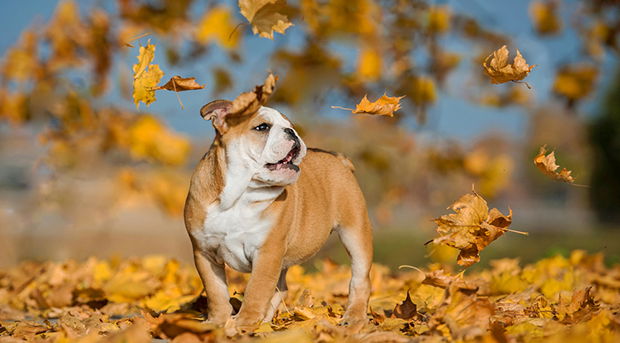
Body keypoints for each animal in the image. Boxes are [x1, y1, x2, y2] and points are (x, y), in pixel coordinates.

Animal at [182, 100, 370, 330]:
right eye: (262, 127)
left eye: (290, 126)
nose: (292, 131)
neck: (239, 195)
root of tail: (338, 159)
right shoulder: (204, 252)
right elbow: (215, 291)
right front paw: (216, 322)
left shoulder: (267, 252)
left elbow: (256, 289)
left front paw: (243, 322)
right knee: (282, 287)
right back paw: (265, 320)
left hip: (354, 231)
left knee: (360, 278)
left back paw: (354, 317)